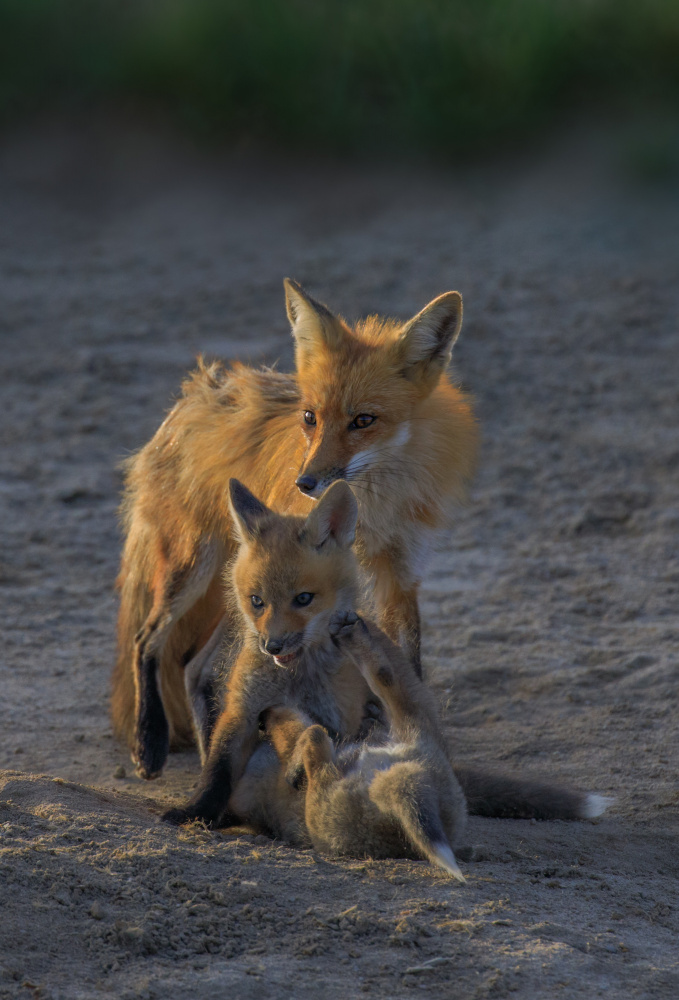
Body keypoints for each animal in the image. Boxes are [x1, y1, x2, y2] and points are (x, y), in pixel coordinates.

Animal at [113, 278, 478, 776]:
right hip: (197, 572)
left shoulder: (400, 575)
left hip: (232, 594)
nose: (304, 484)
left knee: (194, 670)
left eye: (363, 420)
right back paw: (149, 740)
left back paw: (213, 758)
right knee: (147, 640)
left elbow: (406, 671)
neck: (375, 506)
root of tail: (195, 394)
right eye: (310, 417)